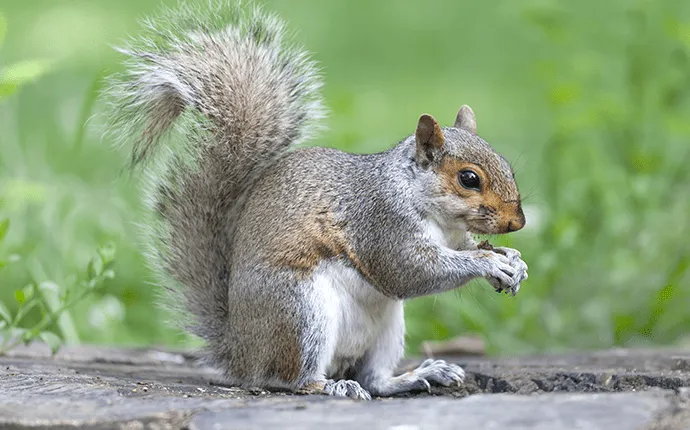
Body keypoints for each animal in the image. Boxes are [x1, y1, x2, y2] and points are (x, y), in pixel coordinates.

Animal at [103, 1, 528, 400]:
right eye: (469, 179)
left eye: (507, 165)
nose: (518, 223)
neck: (435, 213)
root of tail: (242, 354)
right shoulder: (381, 222)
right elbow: (409, 270)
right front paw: (487, 262)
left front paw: (512, 260)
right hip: (301, 312)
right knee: (290, 379)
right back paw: (331, 386)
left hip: (387, 326)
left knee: (375, 380)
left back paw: (418, 374)